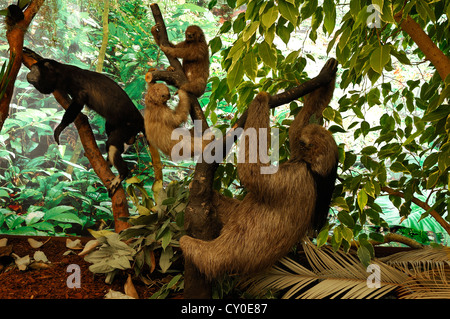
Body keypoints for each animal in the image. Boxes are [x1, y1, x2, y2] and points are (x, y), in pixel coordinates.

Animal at [179, 60, 338, 280]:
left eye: (307, 143)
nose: (303, 141)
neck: (315, 173)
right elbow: (301, 122)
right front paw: (326, 75)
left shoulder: (295, 176)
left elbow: (253, 173)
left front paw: (261, 97)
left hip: (223, 255)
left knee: (202, 252)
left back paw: (189, 243)